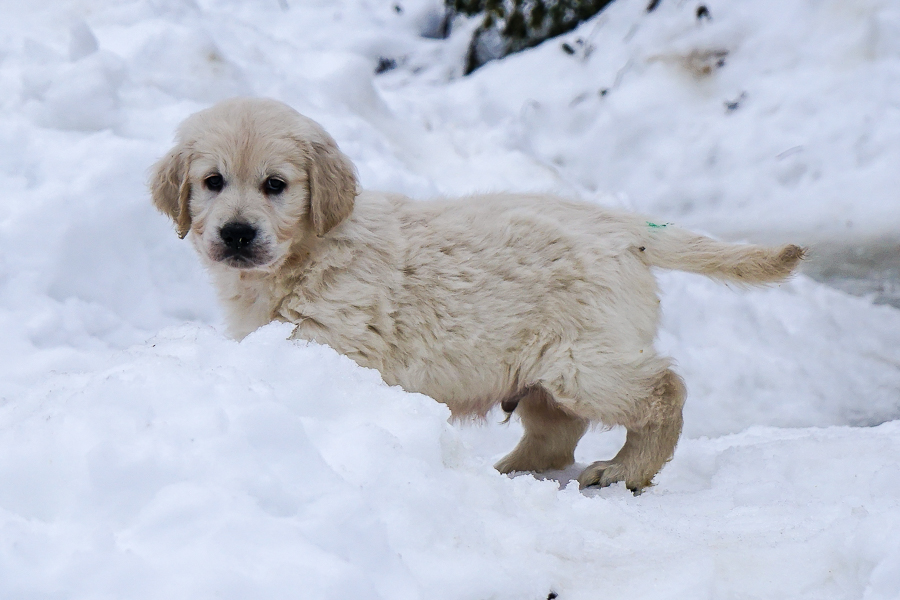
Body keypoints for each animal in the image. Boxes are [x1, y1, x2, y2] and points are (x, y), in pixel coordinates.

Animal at [151, 97, 804, 492]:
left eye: (276, 185)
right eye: (212, 182)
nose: (237, 233)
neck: (306, 252)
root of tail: (624, 228)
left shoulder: (332, 338)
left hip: (584, 359)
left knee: (663, 391)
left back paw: (624, 471)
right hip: (547, 366)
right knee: (556, 432)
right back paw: (509, 472)